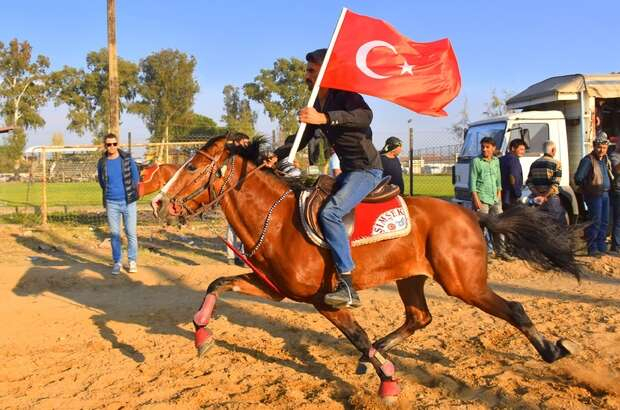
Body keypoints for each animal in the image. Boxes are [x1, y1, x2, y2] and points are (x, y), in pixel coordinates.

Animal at [154, 135, 580, 404]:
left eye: (192, 166)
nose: (158, 202)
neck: (277, 221)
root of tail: (471, 214)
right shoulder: (273, 288)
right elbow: (217, 283)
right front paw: (201, 334)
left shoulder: (324, 300)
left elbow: (357, 335)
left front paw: (388, 382)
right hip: (411, 278)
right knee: (419, 317)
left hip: (464, 283)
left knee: (515, 309)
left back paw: (551, 350)